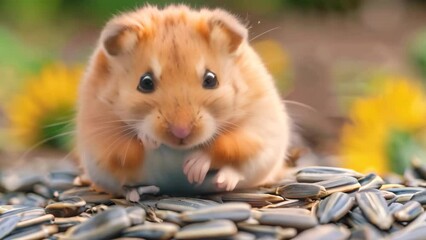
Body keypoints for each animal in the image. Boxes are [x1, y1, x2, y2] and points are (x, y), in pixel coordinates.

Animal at [75, 4, 290, 196]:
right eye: (145, 82)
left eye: (211, 79)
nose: (181, 132)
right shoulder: (103, 138)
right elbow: (130, 146)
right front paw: (150, 139)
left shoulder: (256, 127)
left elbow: (224, 145)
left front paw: (192, 170)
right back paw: (137, 193)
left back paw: (222, 181)